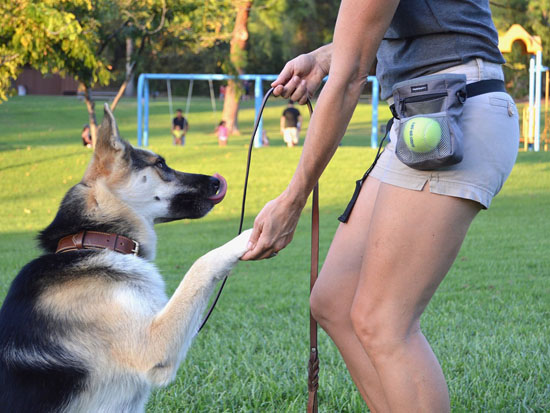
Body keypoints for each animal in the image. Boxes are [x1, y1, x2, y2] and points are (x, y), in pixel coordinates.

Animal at [0, 104, 253, 410]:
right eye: (160, 164)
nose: (217, 181)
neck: (96, 238)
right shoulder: (153, 344)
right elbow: (201, 264)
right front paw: (249, 234)